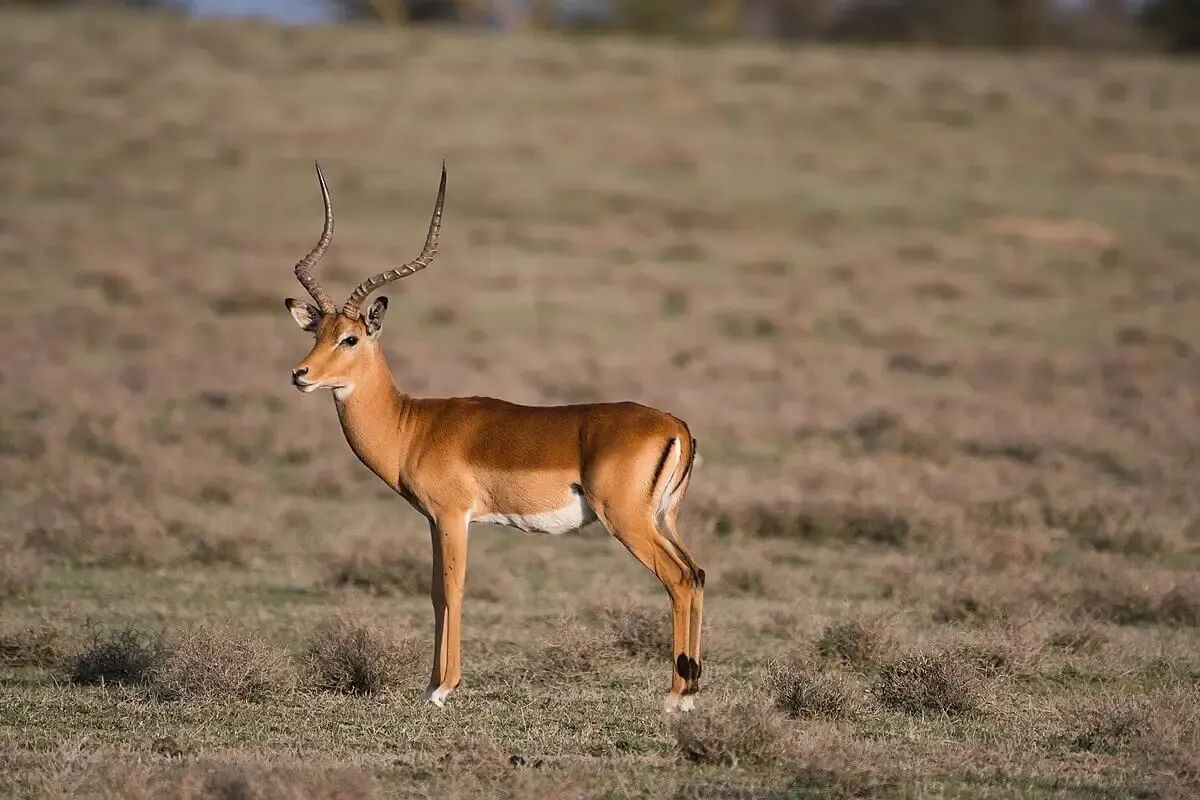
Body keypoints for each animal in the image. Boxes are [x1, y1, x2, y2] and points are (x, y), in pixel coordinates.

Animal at [279, 163, 700, 714]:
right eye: (317, 332)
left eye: (350, 338)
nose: (300, 374)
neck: (412, 425)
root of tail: (676, 426)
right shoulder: (435, 520)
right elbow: (435, 592)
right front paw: (430, 684)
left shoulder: (452, 516)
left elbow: (452, 590)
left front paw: (442, 688)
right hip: (665, 519)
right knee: (696, 574)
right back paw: (691, 689)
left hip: (628, 521)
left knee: (678, 578)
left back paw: (675, 698)